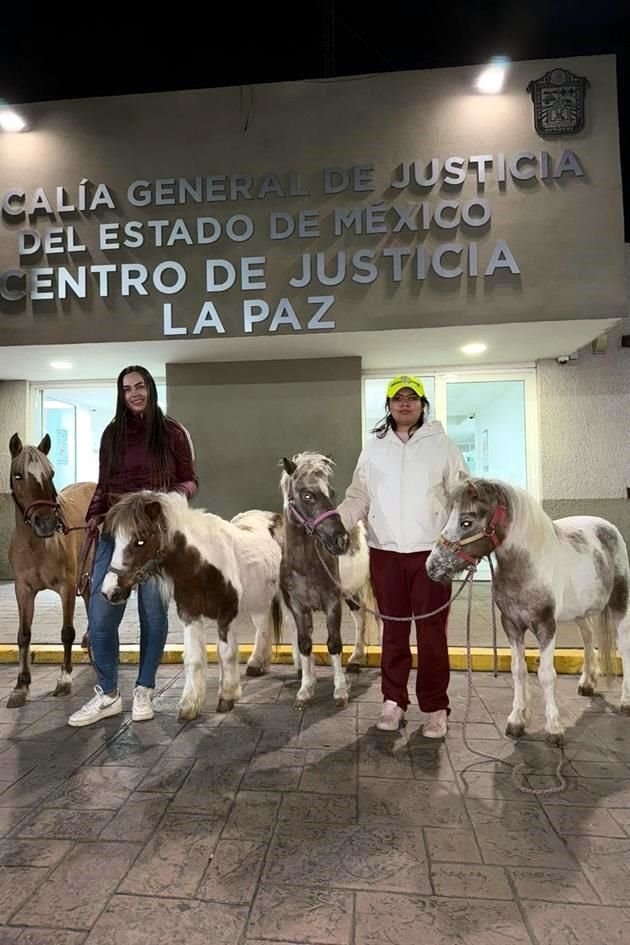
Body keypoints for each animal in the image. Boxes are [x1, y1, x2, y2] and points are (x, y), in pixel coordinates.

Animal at [6, 432, 96, 704]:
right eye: (18, 475)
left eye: (51, 473)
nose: (46, 523)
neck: (38, 545)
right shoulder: (23, 590)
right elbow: (24, 635)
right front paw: (21, 686)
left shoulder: (66, 587)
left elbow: (66, 632)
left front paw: (64, 679)